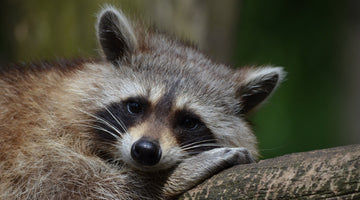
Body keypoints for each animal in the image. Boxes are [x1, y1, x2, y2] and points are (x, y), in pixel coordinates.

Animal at [0, 5, 284, 199]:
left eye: (189, 121)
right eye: (135, 106)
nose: (146, 150)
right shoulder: (36, 145)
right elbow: (71, 188)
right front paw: (168, 177)